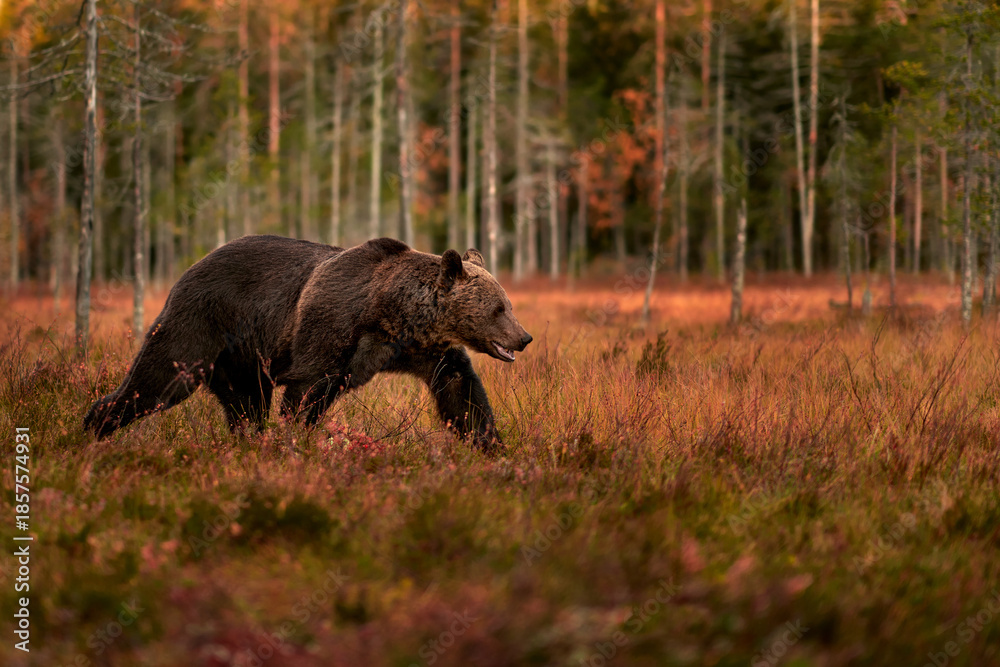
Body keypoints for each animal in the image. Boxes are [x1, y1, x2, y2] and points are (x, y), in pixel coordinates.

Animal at [83, 235, 532, 454]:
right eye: (498, 309)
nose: (524, 337)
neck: (392, 314)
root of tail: (190, 268)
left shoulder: (423, 349)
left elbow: (461, 391)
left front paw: (493, 446)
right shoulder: (331, 328)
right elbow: (306, 391)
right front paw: (296, 443)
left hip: (243, 361)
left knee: (246, 407)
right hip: (202, 324)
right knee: (158, 379)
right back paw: (93, 427)